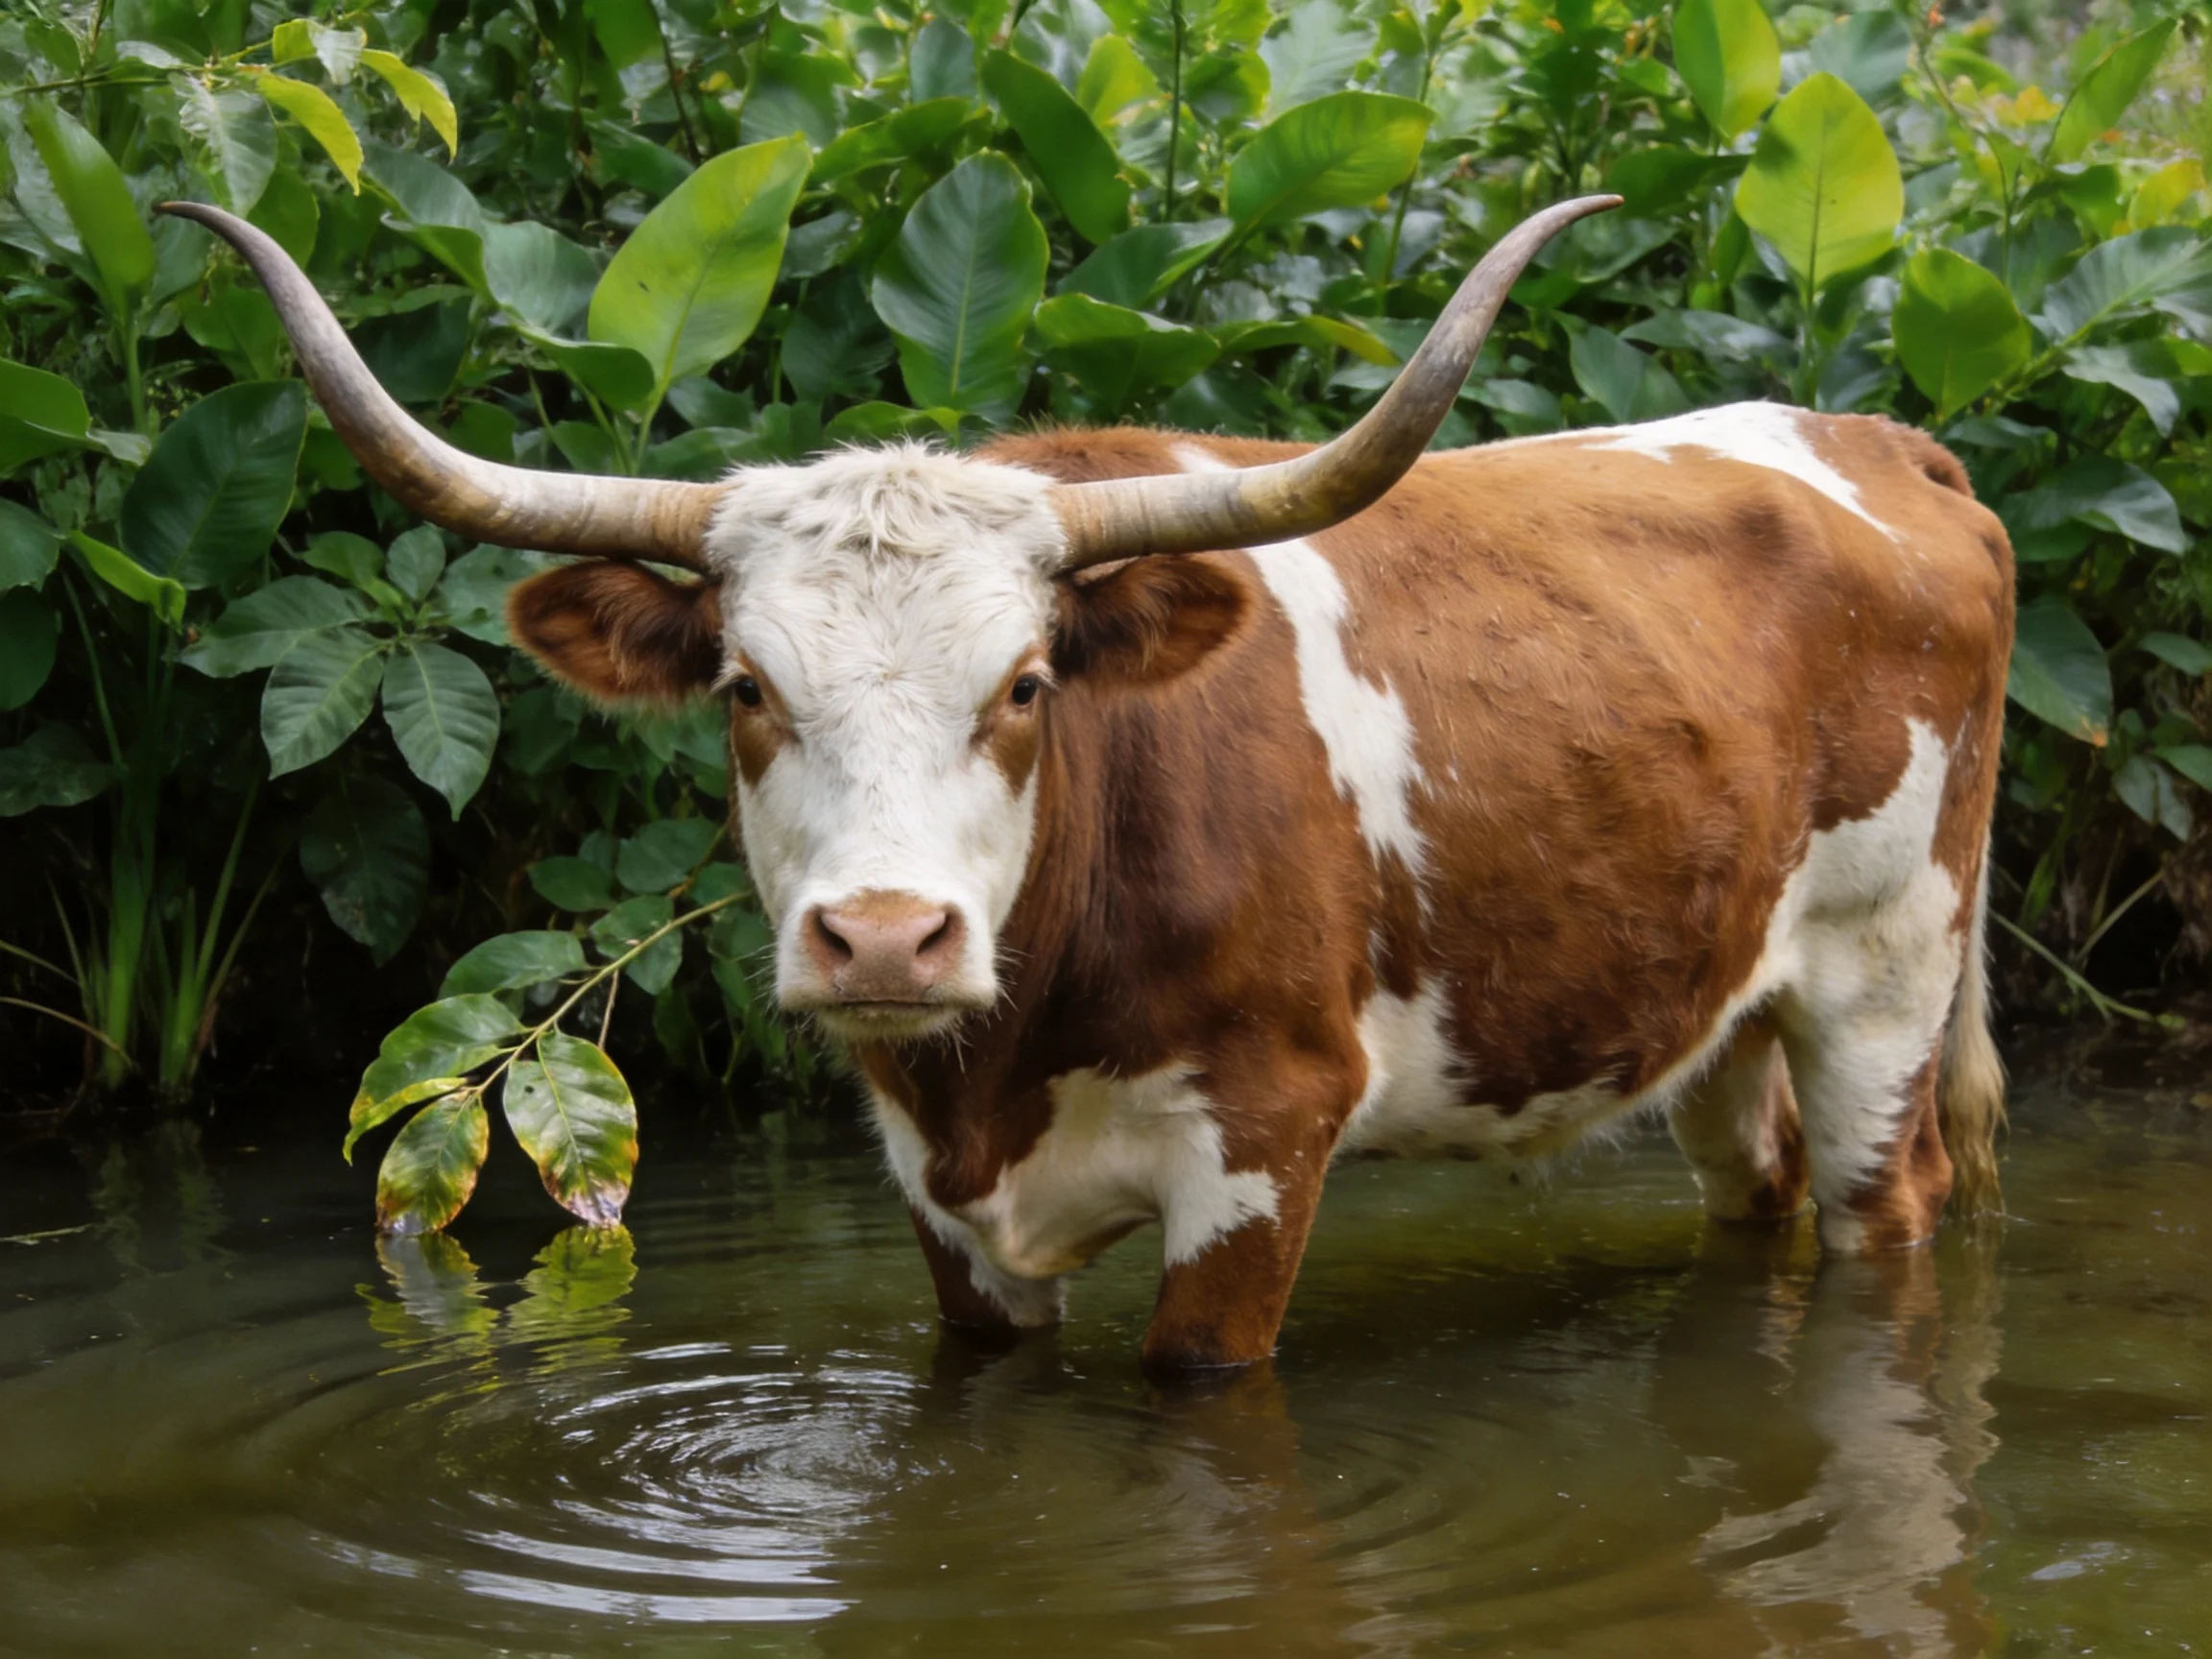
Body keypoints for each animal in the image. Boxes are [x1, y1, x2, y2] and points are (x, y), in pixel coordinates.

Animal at [167, 195, 2013, 1372]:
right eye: (747, 689)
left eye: (1026, 684)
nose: (884, 939)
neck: (1011, 1048)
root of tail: (1875, 443)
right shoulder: (935, 1193)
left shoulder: (1265, 1141)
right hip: (1713, 992)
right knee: (1752, 1188)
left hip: (1883, 977)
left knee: (1886, 1201)